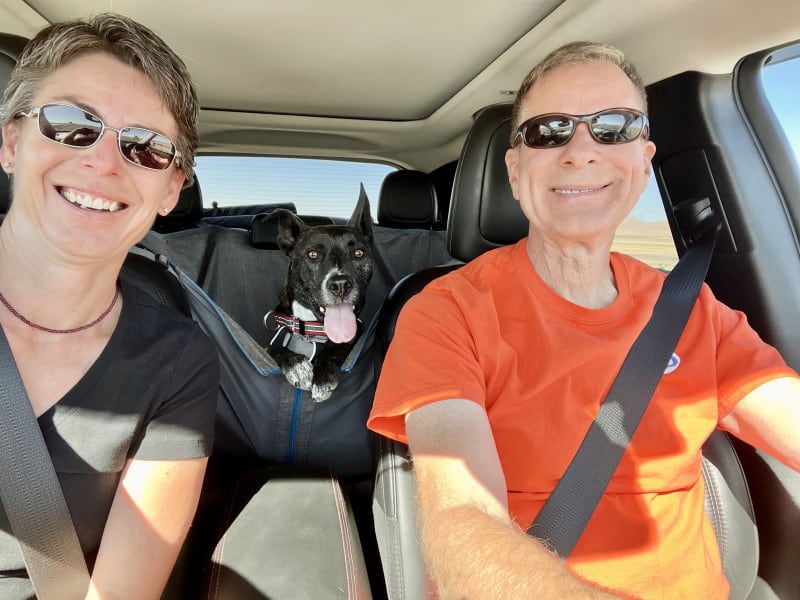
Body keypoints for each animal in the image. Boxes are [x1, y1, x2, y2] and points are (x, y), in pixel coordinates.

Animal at [264, 185, 374, 400]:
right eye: (312, 254)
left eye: (359, 253)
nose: (341, 284)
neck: (312, 330)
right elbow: (274, 349)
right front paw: (298, 366)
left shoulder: (356, 332)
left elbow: (339, 346)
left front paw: (323, 376)